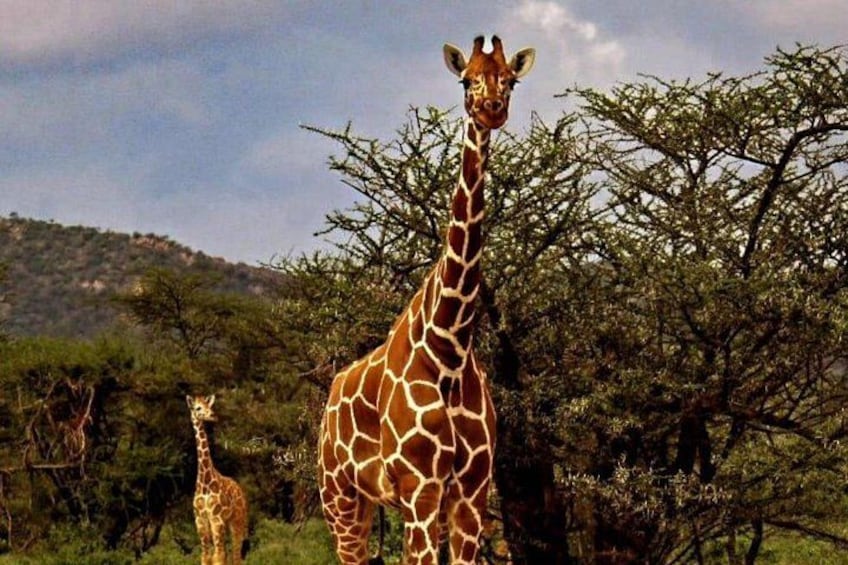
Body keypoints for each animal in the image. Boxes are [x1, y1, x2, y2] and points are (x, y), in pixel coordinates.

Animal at [186, 394, 249, 565]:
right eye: (198, 408)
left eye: (210, 405)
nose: (213, 415)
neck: (205, 481)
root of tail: (239, 488)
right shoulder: (200, 520)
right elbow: (206, 556)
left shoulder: (216, 518)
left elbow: (218, 557)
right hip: (226, 523)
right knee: (229, 553)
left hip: (237, 520)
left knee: (236, 554)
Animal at [319, 36, 535, 565]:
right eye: (465, 80)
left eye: (510, 79)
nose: (491, 108)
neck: (449, 348)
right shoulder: (420, 487)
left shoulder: (470, 493)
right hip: (339, 498)